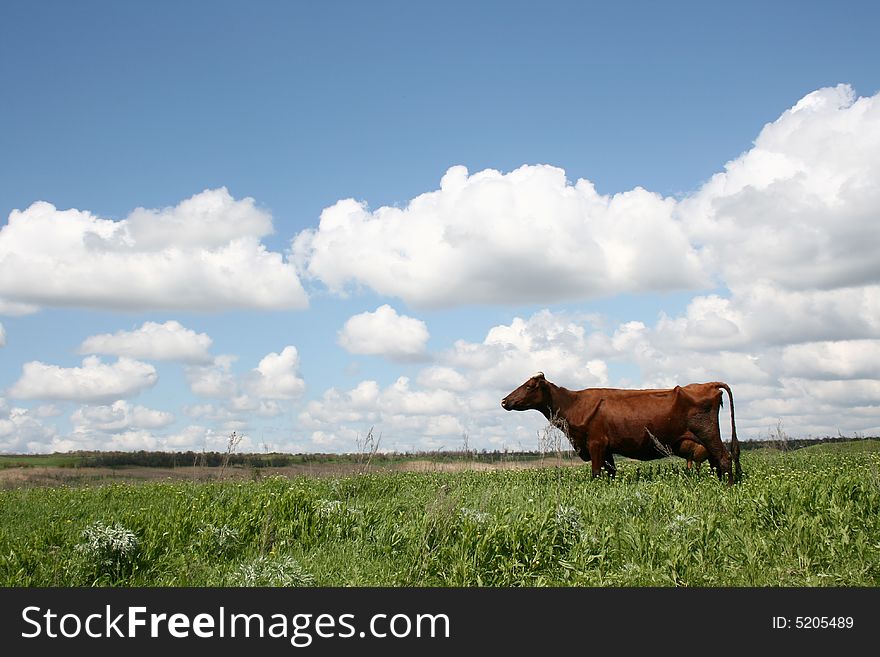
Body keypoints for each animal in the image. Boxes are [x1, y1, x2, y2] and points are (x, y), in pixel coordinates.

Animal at [498, 374, 740, 482]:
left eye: (529, 386)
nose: (504, 401)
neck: (573, 404)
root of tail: (709, 384)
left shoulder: (595, 444)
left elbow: (596, 473)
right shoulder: (606, 448)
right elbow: (611, 472)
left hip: (708, 434)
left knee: (725, 458)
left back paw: (726, 487)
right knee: (718, 461)